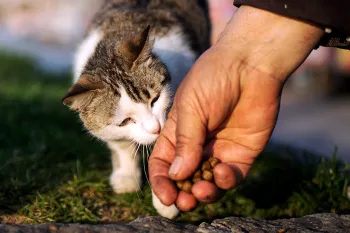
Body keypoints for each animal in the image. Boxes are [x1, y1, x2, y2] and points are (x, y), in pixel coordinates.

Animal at [62, 0, 211, 218]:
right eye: (125, 121)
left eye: (155, 99)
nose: (156, 128)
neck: (121, 29)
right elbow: (122, 146)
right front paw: (126, 176)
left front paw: (165, 201)